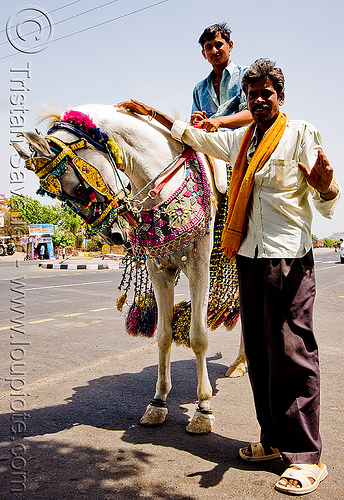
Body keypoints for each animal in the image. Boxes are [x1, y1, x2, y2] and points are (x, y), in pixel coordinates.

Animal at [12, 104, 245, 434]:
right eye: (60, 198)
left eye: (80, 187)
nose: (112, 235)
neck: (165, 183)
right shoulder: (160, 270)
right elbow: (164, 334)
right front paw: (158, 403)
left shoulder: (199, 266)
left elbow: (198, 336)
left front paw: (203, 410)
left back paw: (240, 364)